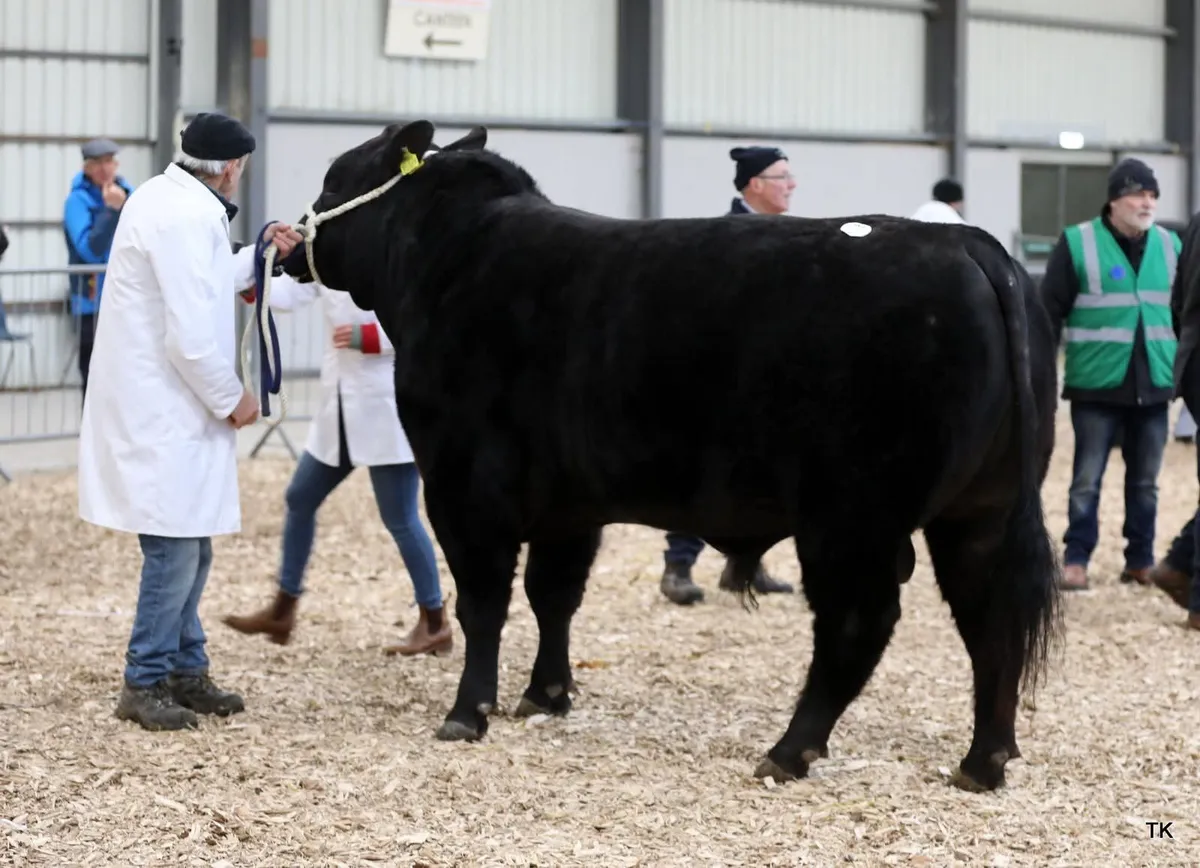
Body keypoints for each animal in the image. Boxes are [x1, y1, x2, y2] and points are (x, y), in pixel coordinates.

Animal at [276, 119, 1064, 792]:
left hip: (851, 517)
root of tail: (968, 247)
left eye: (336, 175)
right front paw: (546, 695)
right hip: (979, 510)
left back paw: (789, 751)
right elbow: (555, 594)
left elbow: (485, 601)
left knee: (858, 622)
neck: (450, 262)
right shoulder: (568, 503)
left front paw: (468, 713)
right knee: (989, 618)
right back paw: (984, 759)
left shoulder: (463, 485)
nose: (285, 240)